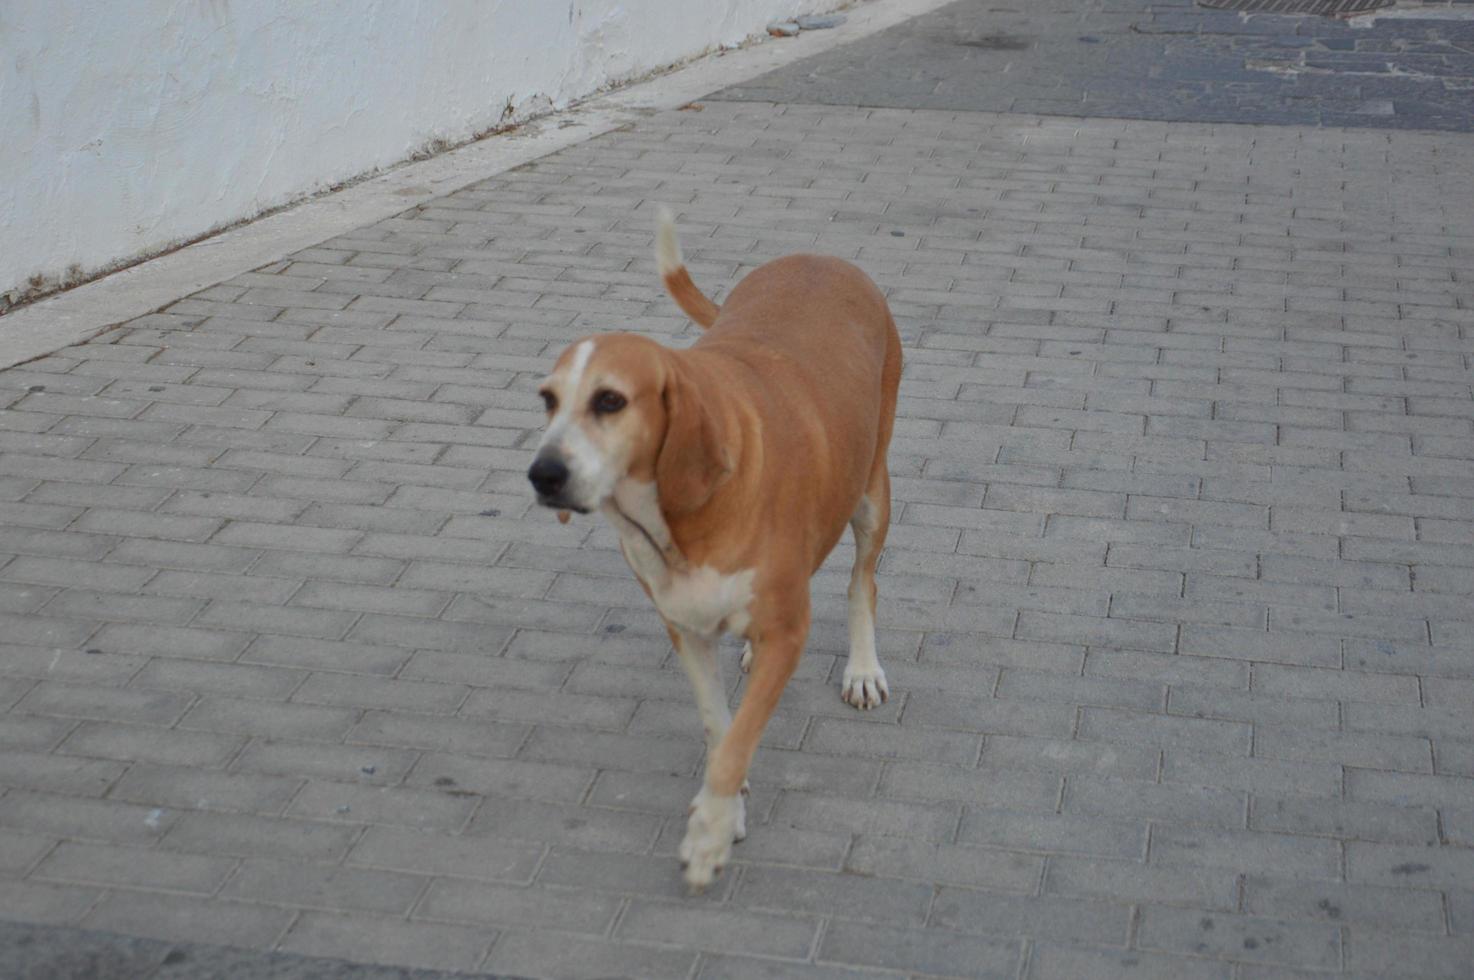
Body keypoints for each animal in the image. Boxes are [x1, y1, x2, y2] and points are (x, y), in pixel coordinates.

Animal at [524, 210, 902, 890]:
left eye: (610, 400)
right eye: (548, 399)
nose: (543, 474)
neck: (677, 519)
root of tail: (819, 257)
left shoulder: (788, 628)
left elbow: (739, 738)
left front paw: (709, 835)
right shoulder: (686, 630)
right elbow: (720, 726)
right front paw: (723, 808)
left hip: (871, 492)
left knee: (864, 580)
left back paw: (862, 666)